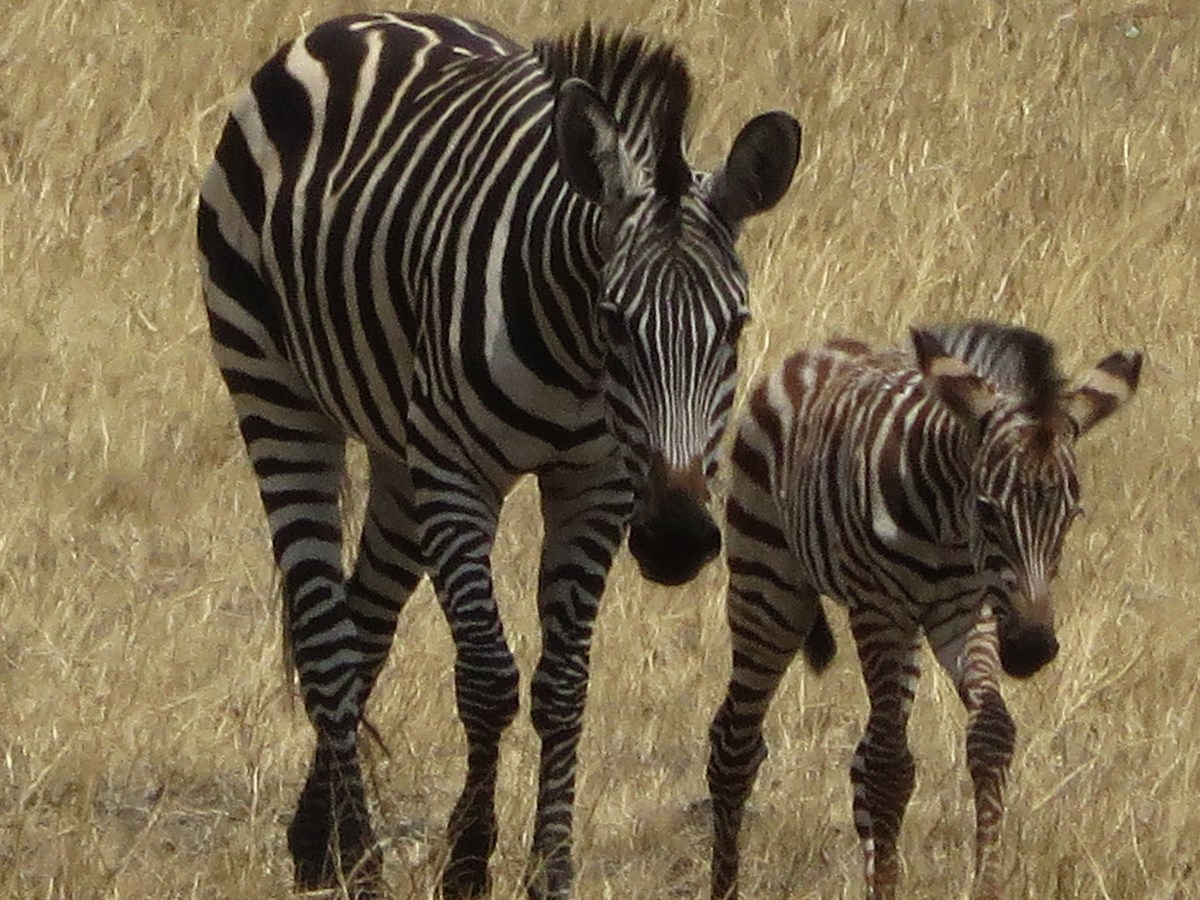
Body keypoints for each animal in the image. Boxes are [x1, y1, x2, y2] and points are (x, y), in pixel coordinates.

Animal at [196, 11, 801, 898]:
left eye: (735, 327)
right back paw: (363, 861)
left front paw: (550, 869)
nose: (678, 540)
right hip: (274, 386)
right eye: (614, 321)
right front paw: (468, 864)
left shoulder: (598, 483)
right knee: (325, 636)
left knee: (365, 621)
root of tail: (359, 22)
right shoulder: (457, 472)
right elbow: (486, 681)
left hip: (398, 450)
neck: (577, 358)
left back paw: (319, 844)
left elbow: (564, 686)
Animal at [706, 322, 1141, 899]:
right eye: (987, 509)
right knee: (736, 744)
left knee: (860, 756)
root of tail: (827, 348)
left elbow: (990, 735)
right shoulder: (881, 610)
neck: (949, 528)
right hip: (769, 585)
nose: (1031, 649)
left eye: (1072, 515)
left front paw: (986, 883)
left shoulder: (968, 611)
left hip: (904, 628)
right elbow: (891, 768)